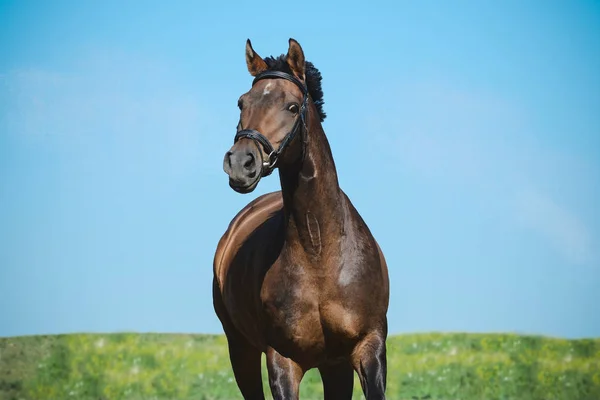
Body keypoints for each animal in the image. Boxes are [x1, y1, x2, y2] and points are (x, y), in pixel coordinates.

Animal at [213, 38, 392, 400]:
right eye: (242, 102)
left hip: (335, 367)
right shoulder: (283, 360)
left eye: (293, 107)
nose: (240, 163)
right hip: (241, 350)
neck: (320, 251)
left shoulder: (369, 347)